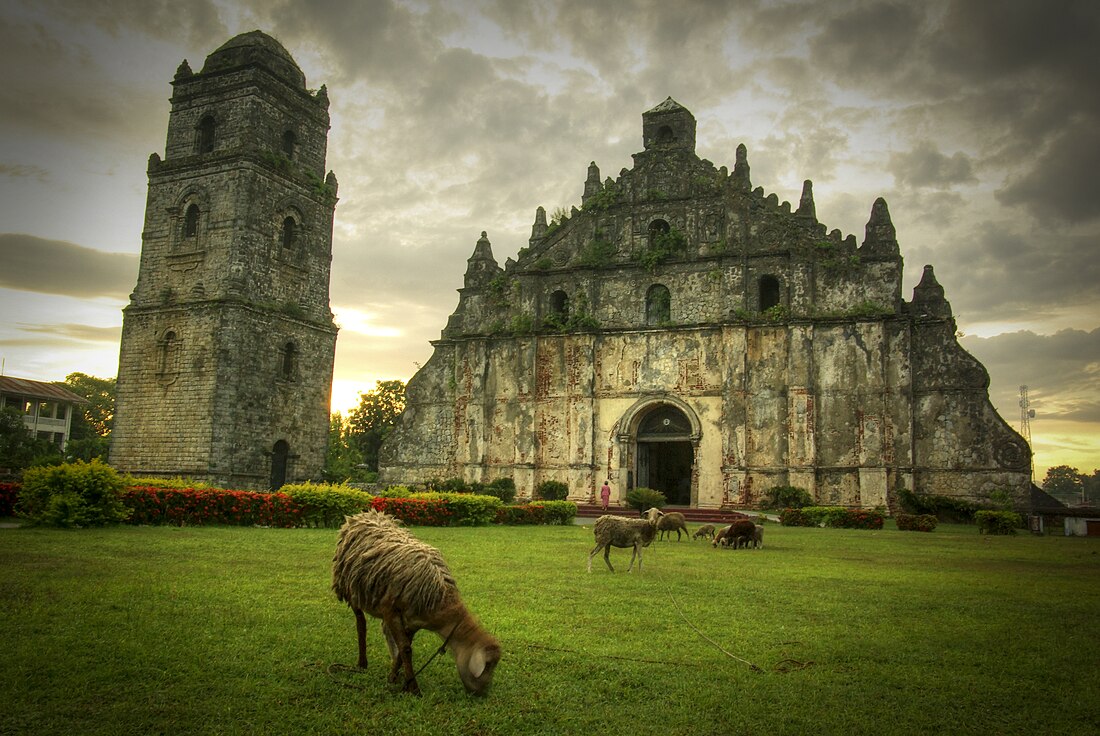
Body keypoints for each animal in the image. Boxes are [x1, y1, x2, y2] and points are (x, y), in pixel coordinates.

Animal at [325, 510, 499, 695]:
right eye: (488, 666)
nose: (482, 693)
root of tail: (363, 515)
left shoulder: (412, 622)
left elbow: (404, 649)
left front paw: (394, 678)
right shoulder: (390, 610)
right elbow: (406, 649)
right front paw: (414, 688)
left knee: (386, 631)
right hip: (351, 589)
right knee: (361, 624)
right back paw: (362, 663)